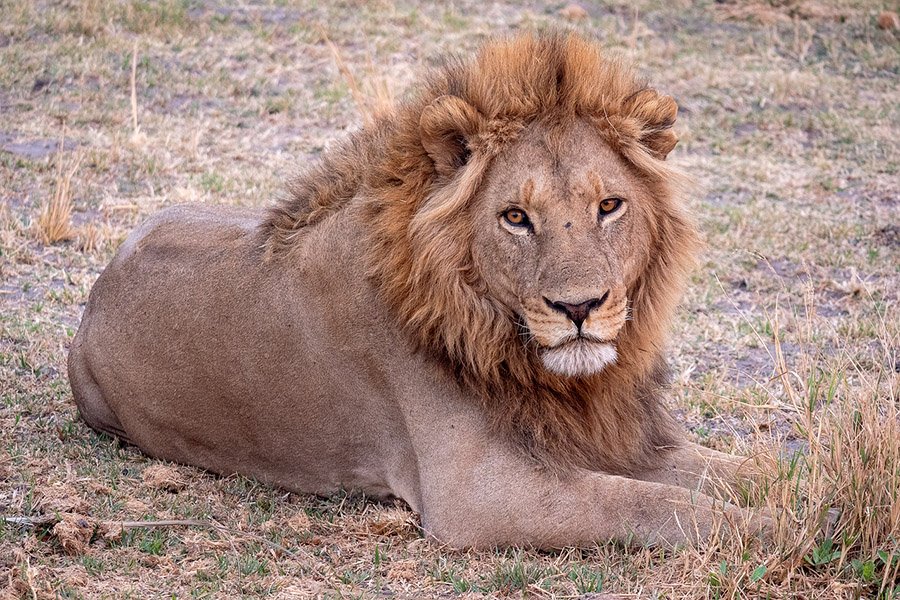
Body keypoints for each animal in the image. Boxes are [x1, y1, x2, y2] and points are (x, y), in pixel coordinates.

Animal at [68, 31, 767, 548]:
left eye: (610, 206)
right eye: (516, 217)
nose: (579, 308)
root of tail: (95, 296)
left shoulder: (620, 436)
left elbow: (748, 471)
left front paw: (790, 499)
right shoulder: (479, 494)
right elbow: (653, 505)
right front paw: (771, 531)